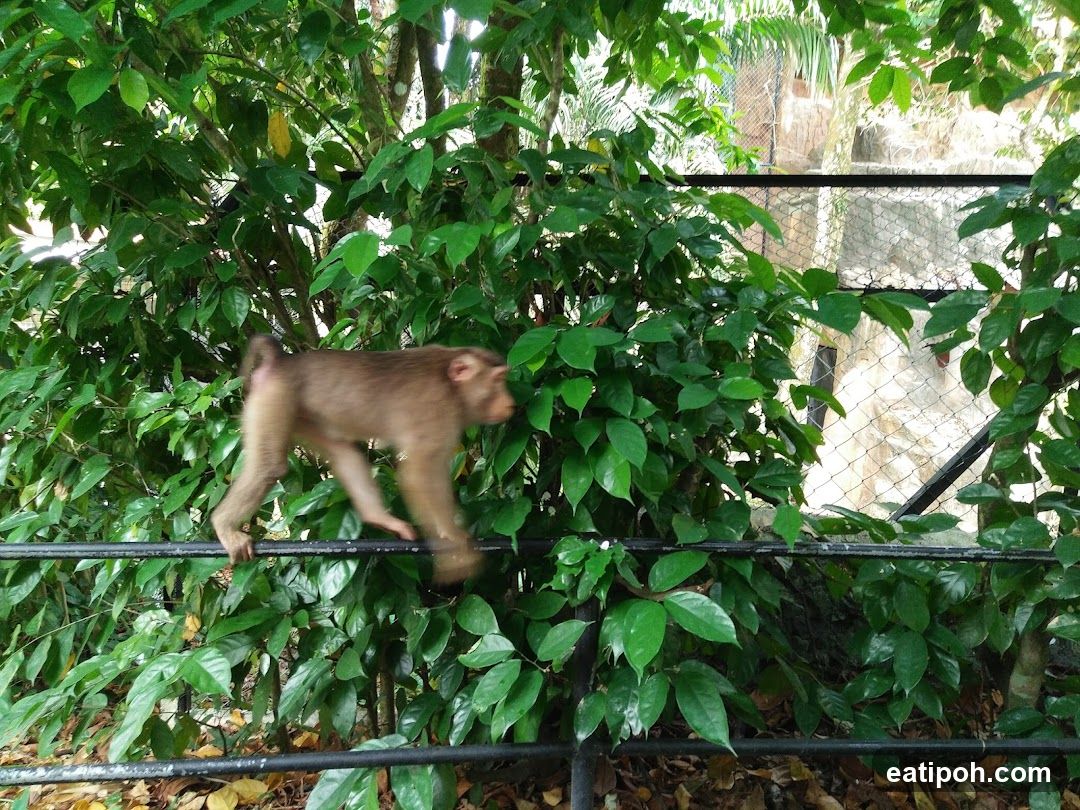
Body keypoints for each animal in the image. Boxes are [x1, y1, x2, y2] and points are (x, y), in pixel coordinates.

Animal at [211, 335, 515, 583]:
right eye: (497, 380)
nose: (511, 403)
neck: (451, 385)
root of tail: (281, 362)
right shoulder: (438, 411)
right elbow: (418, 476)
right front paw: (452, 539)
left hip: (304, 414)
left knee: (344, 452)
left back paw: (378, 517)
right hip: (275, 399)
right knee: (270, 465)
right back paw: (224, 525)